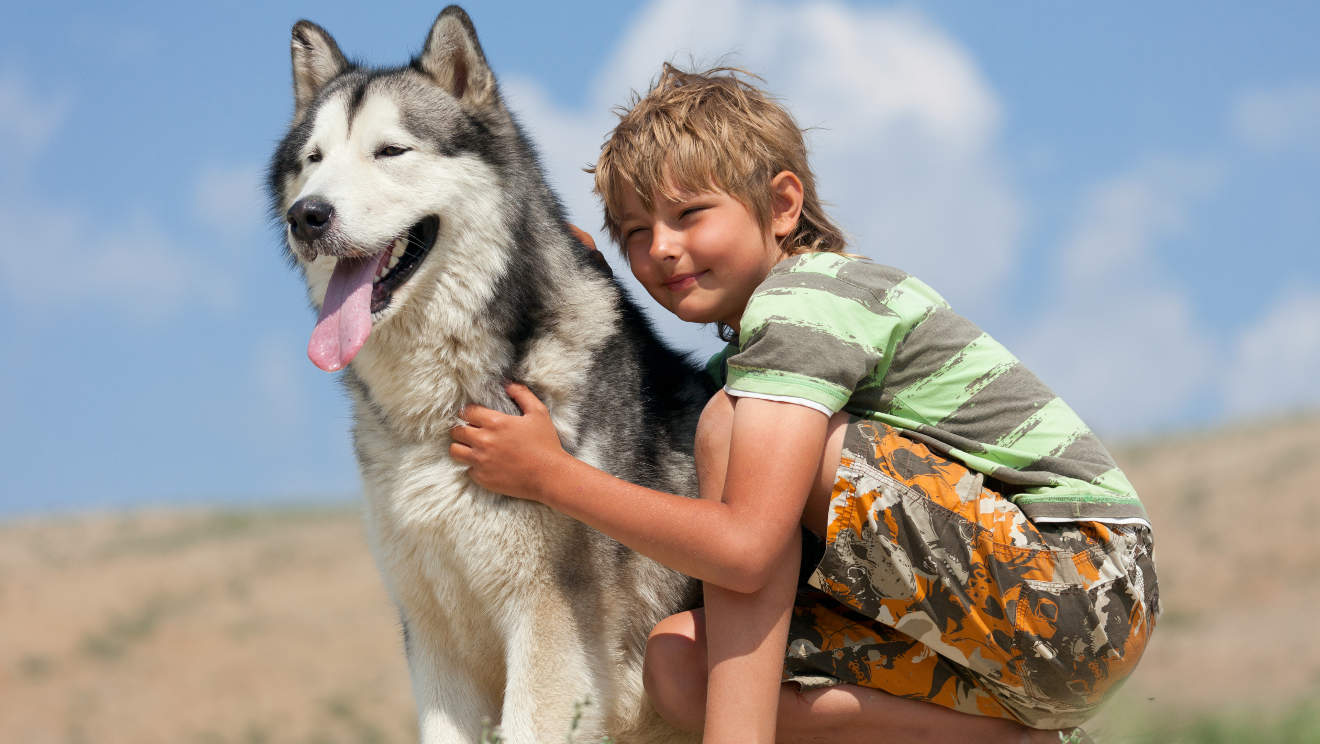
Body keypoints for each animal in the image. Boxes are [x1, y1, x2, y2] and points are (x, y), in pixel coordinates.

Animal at [264, 7, 712, 744]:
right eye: (314, 161)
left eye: (391, 152)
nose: (309, 215)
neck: (439, 409)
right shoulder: (434, 642)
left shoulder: (548, 635)